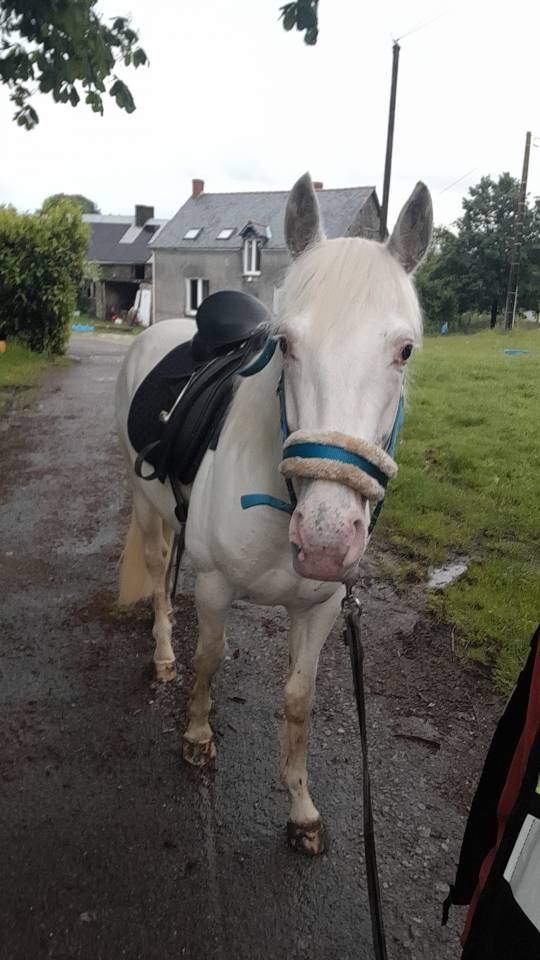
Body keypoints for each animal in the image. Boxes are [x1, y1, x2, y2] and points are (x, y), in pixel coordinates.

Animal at [115, 173, 432, 856]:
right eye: (285, 343)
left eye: (405, 351)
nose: (326, 540)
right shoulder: (214, 585)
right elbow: (208, 659)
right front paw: (197, 736)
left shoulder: (319, 609)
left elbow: (298, 699)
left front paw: (301, 808)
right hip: (146, 507)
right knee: (157, 576)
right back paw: (163, 654)